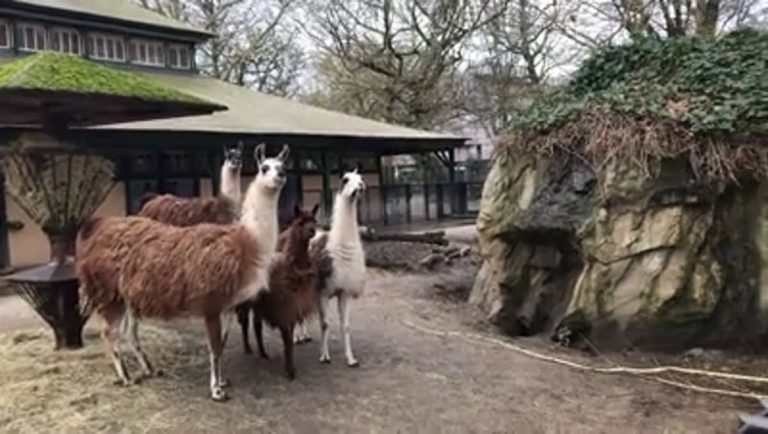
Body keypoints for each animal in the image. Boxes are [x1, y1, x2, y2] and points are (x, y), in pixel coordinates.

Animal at [76, 143, 289, 402]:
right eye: (264, 167)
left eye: (283, 165)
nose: (280, 175)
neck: (246, 242)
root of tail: (97, 227)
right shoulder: (210, 302)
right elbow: (214, 347)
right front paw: (216, 390)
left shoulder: (227, 305)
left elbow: (223, 344)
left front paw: (223, 381)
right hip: (108, 291)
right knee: (109, 333)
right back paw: (125, 377)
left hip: (127, 295)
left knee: (128, 332)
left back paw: (148, 369)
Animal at [235, 204, 320, 379]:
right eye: (300, 222)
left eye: (314, 220)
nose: (312, 231)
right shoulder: (284, 307)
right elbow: (287, 339)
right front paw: (289, 371)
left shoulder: (291, 306)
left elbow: (288, 339)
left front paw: (291, 368)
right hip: (247, 300)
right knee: (245, 321)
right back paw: (248, 349)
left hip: (259, 303)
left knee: (256, 325)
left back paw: (262, 353)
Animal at [311, 169, 367, 367]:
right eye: (345, 179)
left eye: (361, 179)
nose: (360, 187)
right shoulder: (323, 291)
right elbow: (325, 324)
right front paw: (324, 356)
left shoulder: (344, 291)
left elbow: (346, 325)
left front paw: (351, 358)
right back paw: (298, 337)